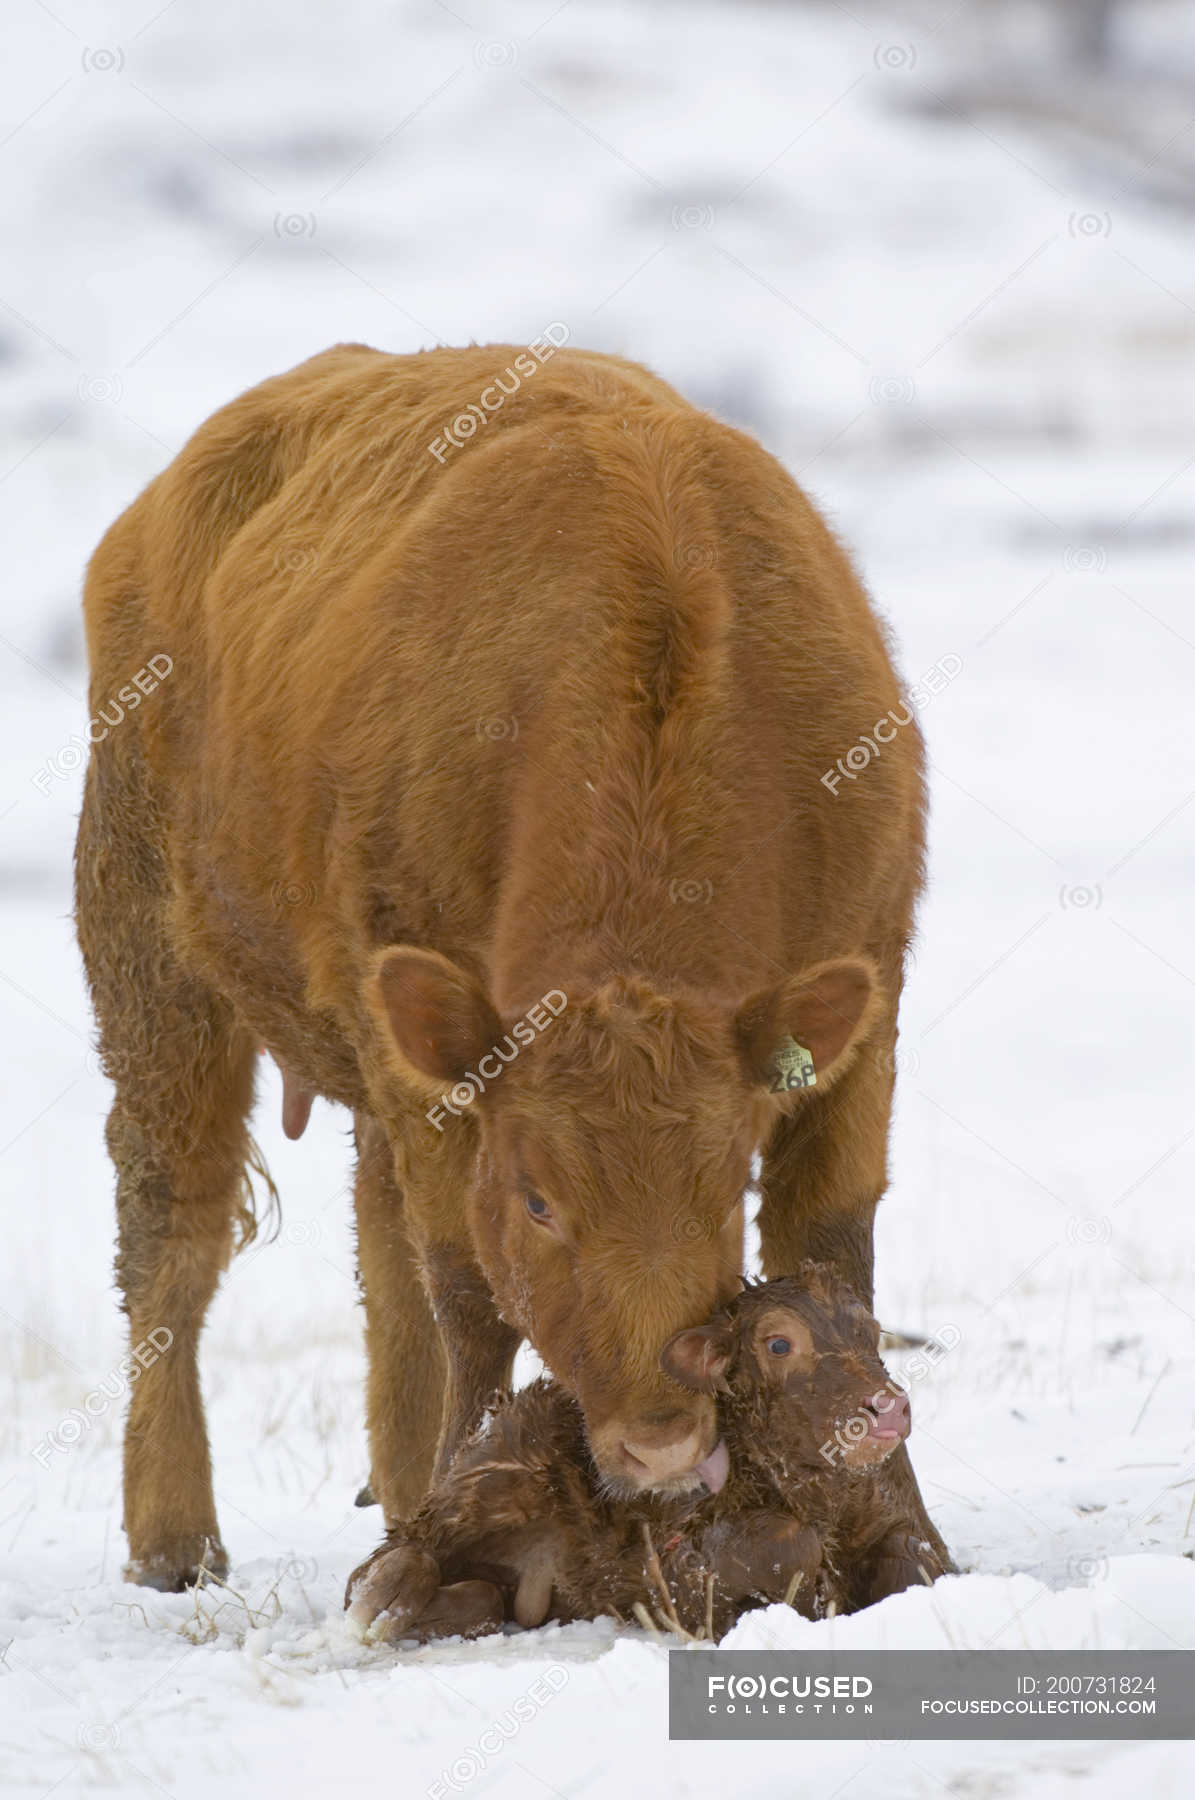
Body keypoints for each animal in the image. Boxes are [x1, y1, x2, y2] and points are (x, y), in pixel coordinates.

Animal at [76, 338, 950, 1591]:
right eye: (538, 1199)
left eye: (724, 1183)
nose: (658, 1441)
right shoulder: (441, 1071)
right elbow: (470, 1294)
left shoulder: (863, 1008)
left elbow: (836, 1253)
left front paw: (911, 1539)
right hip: (150, 970)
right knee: (172, 1237)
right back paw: (176, 1539)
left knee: (374, 1250)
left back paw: (397, 1485)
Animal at [345, 1267, 943, 1648]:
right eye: (779, 1344)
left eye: (870, 1333)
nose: (887, 1408)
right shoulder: (670, 1564)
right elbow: (787, 1542)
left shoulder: (884, 1525)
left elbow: (913, 1555)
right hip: (492, 1471)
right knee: (393, 1553)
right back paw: (381, 1602)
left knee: (485, 1598)